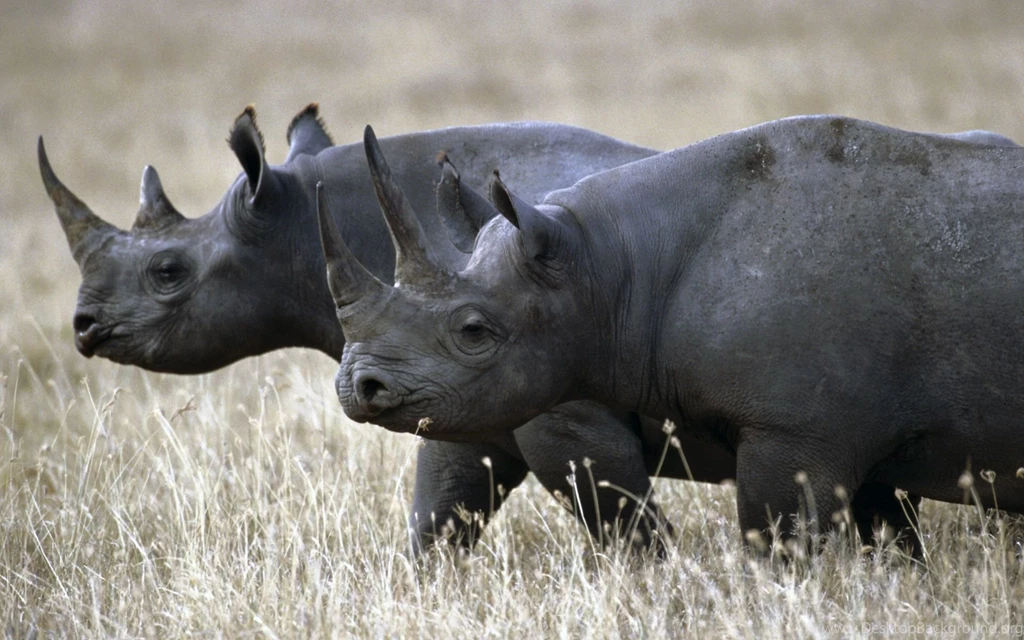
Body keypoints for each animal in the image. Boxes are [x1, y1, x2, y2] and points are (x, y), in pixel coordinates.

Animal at [320, 116, 1024, 553]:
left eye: (473, 331)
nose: (359, 386)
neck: (608, 265)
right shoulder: (863, 436)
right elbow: (893, 549)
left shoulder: (799, 431)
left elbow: (780, 545)